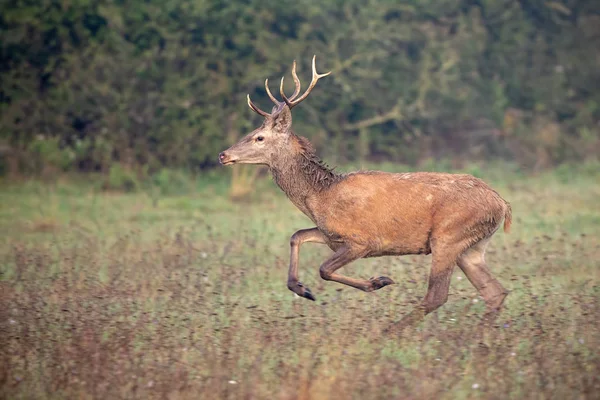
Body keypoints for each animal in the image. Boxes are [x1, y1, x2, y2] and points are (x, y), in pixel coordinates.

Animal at [220, 55, 510, 324]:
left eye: (259, 137)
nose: (223, 155)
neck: (319, 198)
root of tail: (503, 205)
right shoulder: (330, 235)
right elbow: (297, 235)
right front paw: (303, 289)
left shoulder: (363, 240)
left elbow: (324, 269)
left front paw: (378, 281)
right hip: (472, 246)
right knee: (495, 291)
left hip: (448, 237)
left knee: (437, 295)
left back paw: (392, 331)